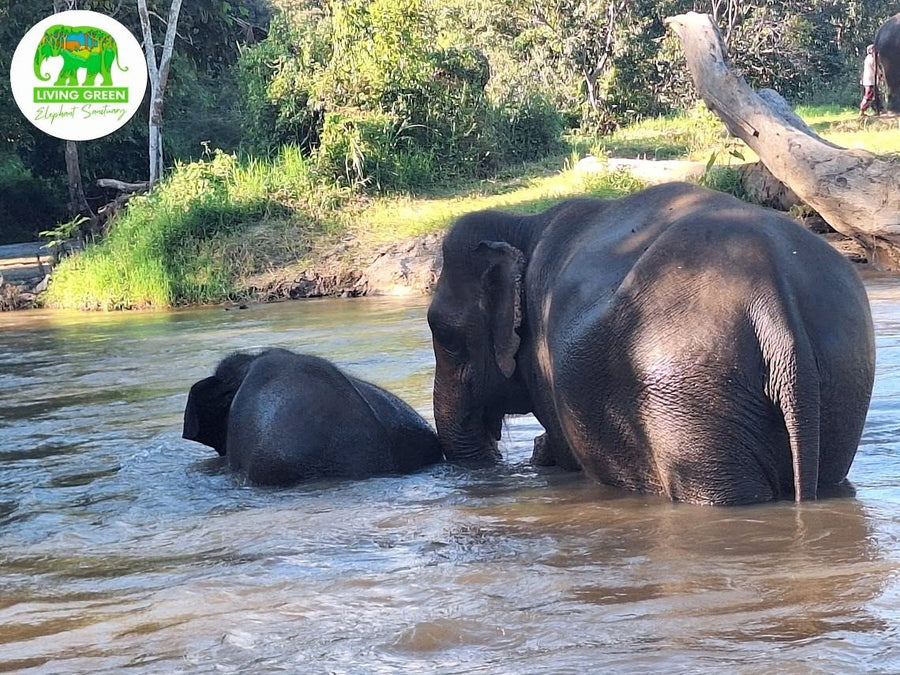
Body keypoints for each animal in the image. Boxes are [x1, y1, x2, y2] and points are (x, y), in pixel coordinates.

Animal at [427, 181, 875, 505]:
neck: (523, 224)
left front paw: (544, 455)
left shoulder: (545, 370)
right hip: (841, 377)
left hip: (689, 396)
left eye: (446, 337)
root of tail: (772, 294)